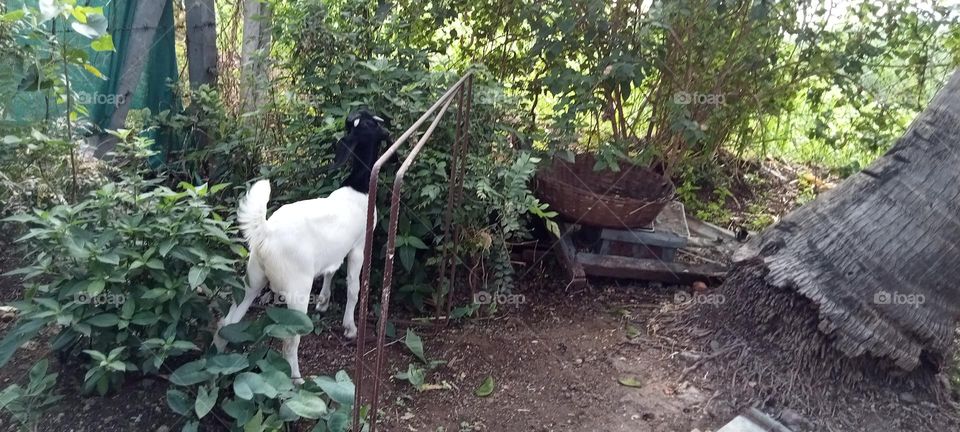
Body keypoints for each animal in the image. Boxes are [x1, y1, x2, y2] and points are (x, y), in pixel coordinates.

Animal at [213, 110, 390, 383]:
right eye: (371, 124)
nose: (386, 127)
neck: (358, 188)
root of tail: (265, 232)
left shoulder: (333, 253)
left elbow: (330, 271)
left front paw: (324, 302)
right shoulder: (358, 246)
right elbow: (353, 287)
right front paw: (350, 328)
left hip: (252, 278)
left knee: (226, 324)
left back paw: (221, 365)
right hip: (297, 289)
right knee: (290, 341)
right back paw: (296, 378)